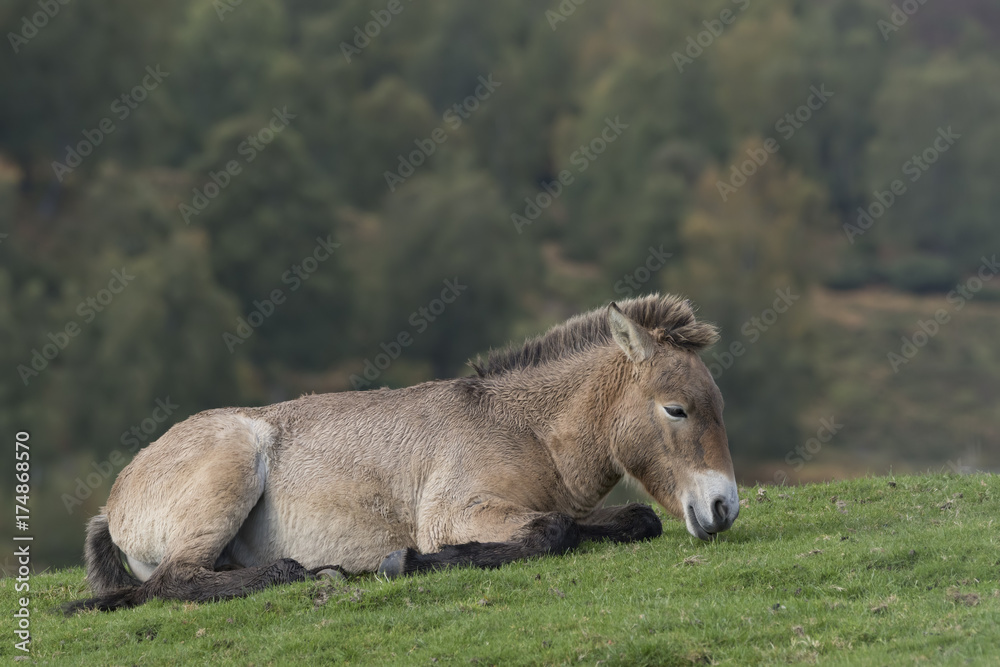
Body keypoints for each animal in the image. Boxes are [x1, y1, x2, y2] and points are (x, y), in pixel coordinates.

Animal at [67, 293, 738, 613]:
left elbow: (628, 520)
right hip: (232, 463)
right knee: (177, 581)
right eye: (676, 409)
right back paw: (306, 572)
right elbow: (550, 531)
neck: (521, 430)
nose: (723, 507)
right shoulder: (457, 513)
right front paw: (408, 561)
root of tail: (117, 498)